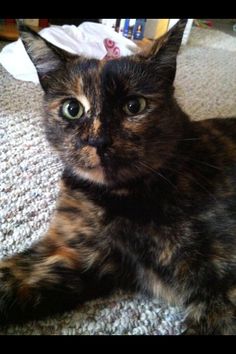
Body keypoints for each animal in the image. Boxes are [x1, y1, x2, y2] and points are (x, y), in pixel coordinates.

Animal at [0, 19, 236, 334]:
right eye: (72, 109)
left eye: (134, 106)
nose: (99, 141)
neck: (114, 199)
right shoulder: (67, 251)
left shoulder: (220, 289)